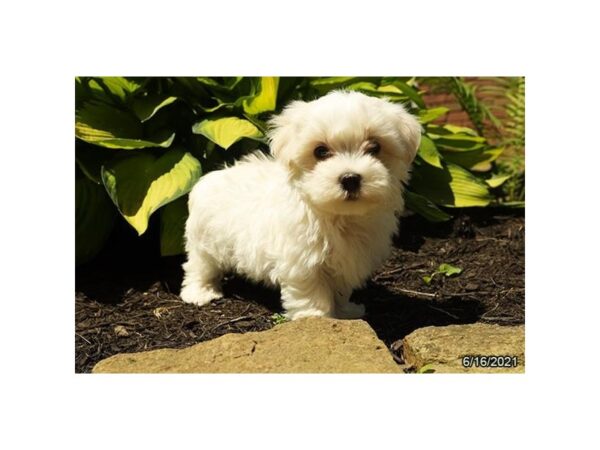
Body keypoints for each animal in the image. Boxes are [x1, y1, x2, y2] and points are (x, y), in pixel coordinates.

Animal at [180, 89, 420, 320]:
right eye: (320, 151)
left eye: (375, 147)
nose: (350, 178)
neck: (340, 217)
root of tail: (209, 178)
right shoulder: (303, 261)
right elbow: (312, 292)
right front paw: (316, 318)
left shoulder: (346, 261)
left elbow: (340, 289)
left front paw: (345, 312)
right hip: (205, 242)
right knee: (200, 266)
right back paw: (200, 293)